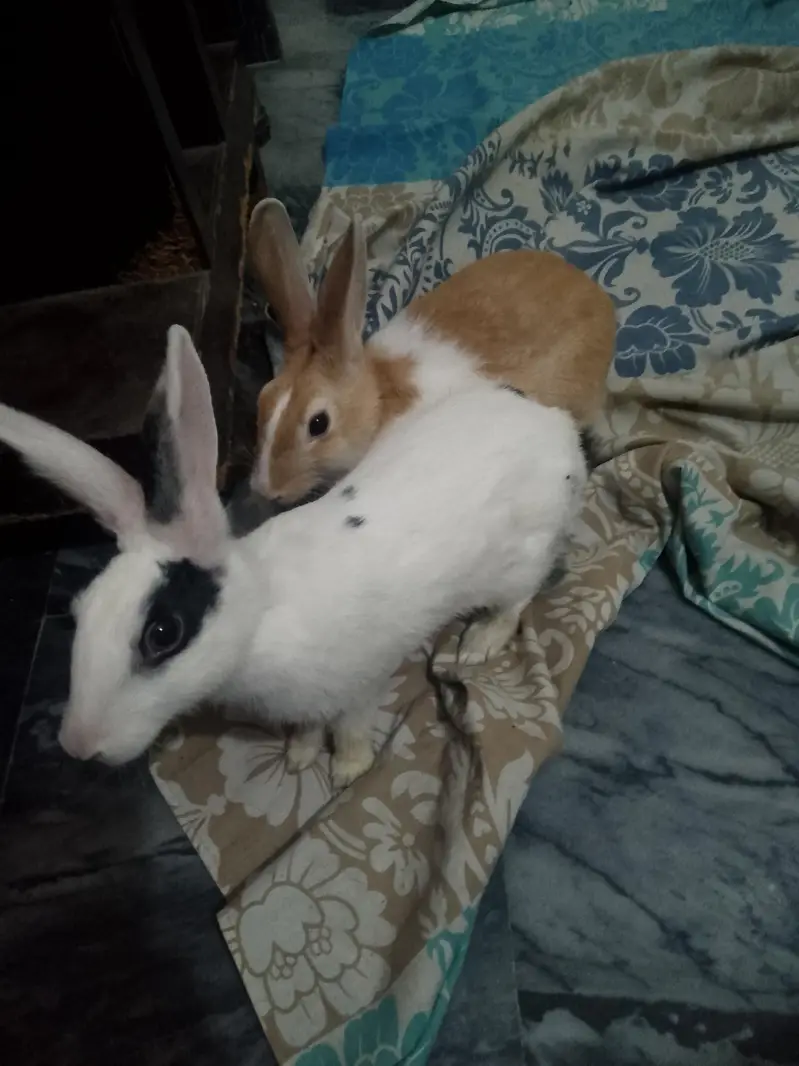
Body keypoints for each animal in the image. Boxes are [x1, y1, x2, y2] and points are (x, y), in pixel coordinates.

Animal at [0, 324, 586, 786]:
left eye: (163, 633)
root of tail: (557, 429)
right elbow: (308, 726)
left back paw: (478, 643)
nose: (78, 746)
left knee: (515, 603)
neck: (261, 618)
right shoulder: (304, 702)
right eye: (79, 610)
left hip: (520, 559)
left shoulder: (361, 682)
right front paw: (299, 756)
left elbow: (351, 725)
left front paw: (348, 769)